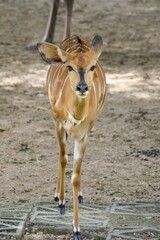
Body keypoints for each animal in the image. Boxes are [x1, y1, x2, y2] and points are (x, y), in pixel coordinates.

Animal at [37, 34, 106, 240]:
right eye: (69, 67)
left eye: (92, 67)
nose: (82, 87)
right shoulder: (59, 124)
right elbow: (62, 159)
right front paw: (61, 202)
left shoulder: (84, 134)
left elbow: (75, 176)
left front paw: (76, 229)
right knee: (62, 158)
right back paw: (57, 197)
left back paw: (79, 195)